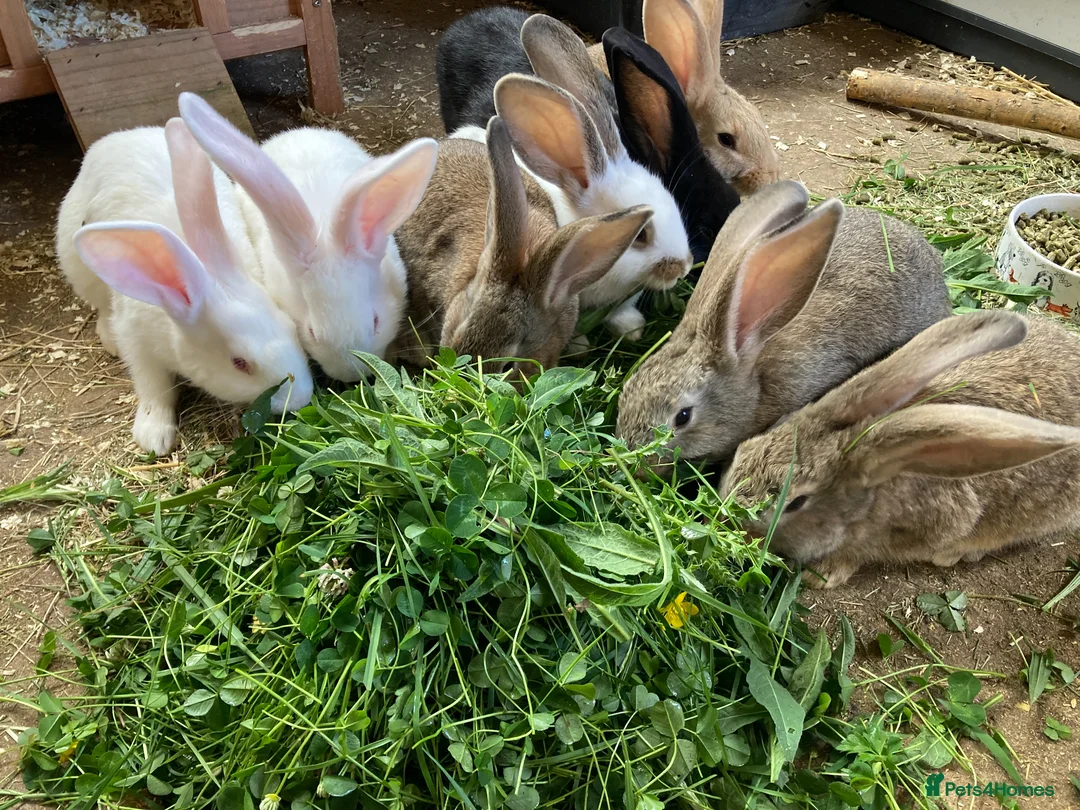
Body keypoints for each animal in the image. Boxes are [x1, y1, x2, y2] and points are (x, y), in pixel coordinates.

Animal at [55, 120, 314, 456]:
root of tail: (120, 136)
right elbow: (155, 388)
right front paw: (153, 436)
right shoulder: (137, 344)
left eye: (291, 329)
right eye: (239, 363)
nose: (303, 398)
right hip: (78, 263)